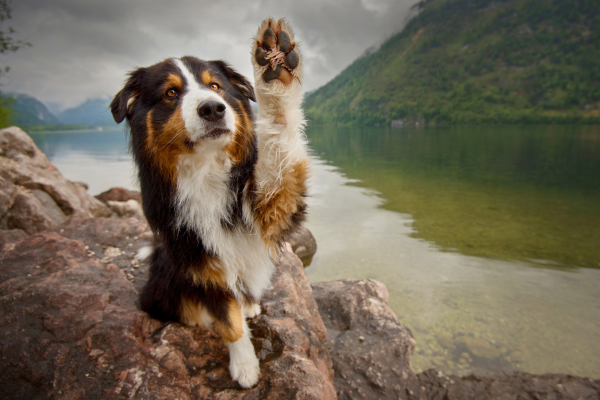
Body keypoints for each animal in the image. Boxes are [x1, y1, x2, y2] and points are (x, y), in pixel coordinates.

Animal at [110, 18, 312, 388]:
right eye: (171, 93)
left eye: (215, 86)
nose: (213, 108)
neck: (205, 168)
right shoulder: (200, 260)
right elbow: (228, 321)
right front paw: (245, 368)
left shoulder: (271, 204)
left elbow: (279, 145)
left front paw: (274, 70)